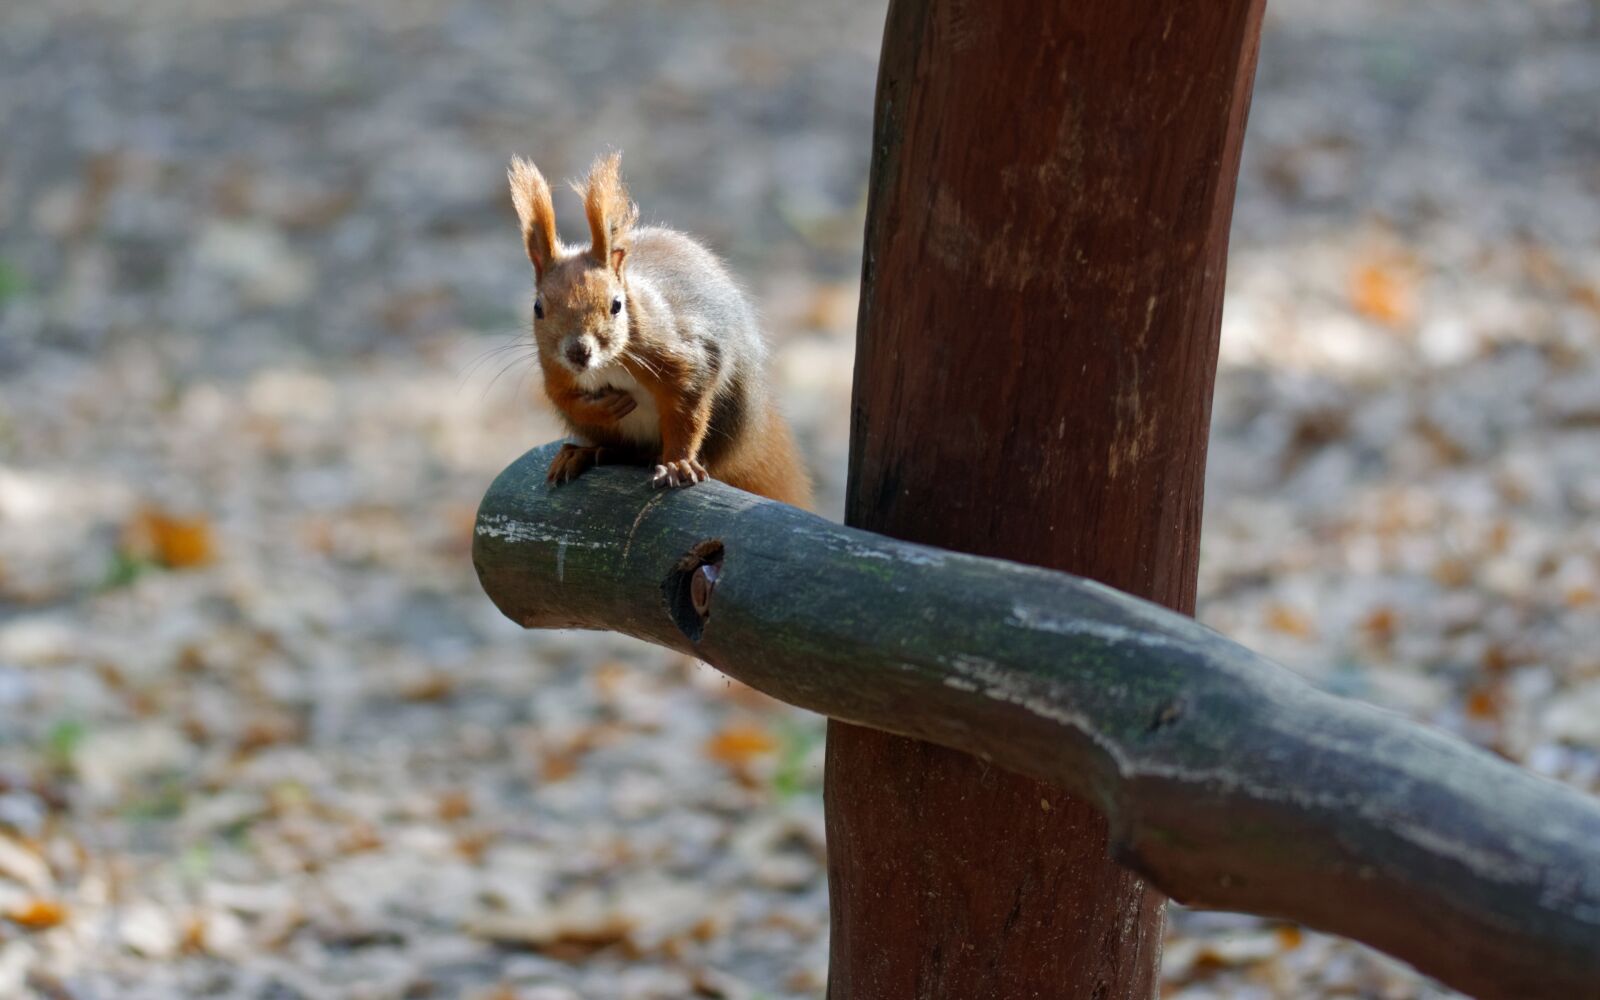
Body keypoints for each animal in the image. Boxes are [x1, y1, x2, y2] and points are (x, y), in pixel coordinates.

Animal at [507, 152, 811, 509]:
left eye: (617, 305)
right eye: (538, 308)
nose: (579, 352)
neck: (607, 365)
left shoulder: (683, 357)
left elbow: (687, 411)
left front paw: (679, 463)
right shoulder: (556, 372)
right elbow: (566, 399)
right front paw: (605, 407)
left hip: (731, 413)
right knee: (619, 450)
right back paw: (585, 452)